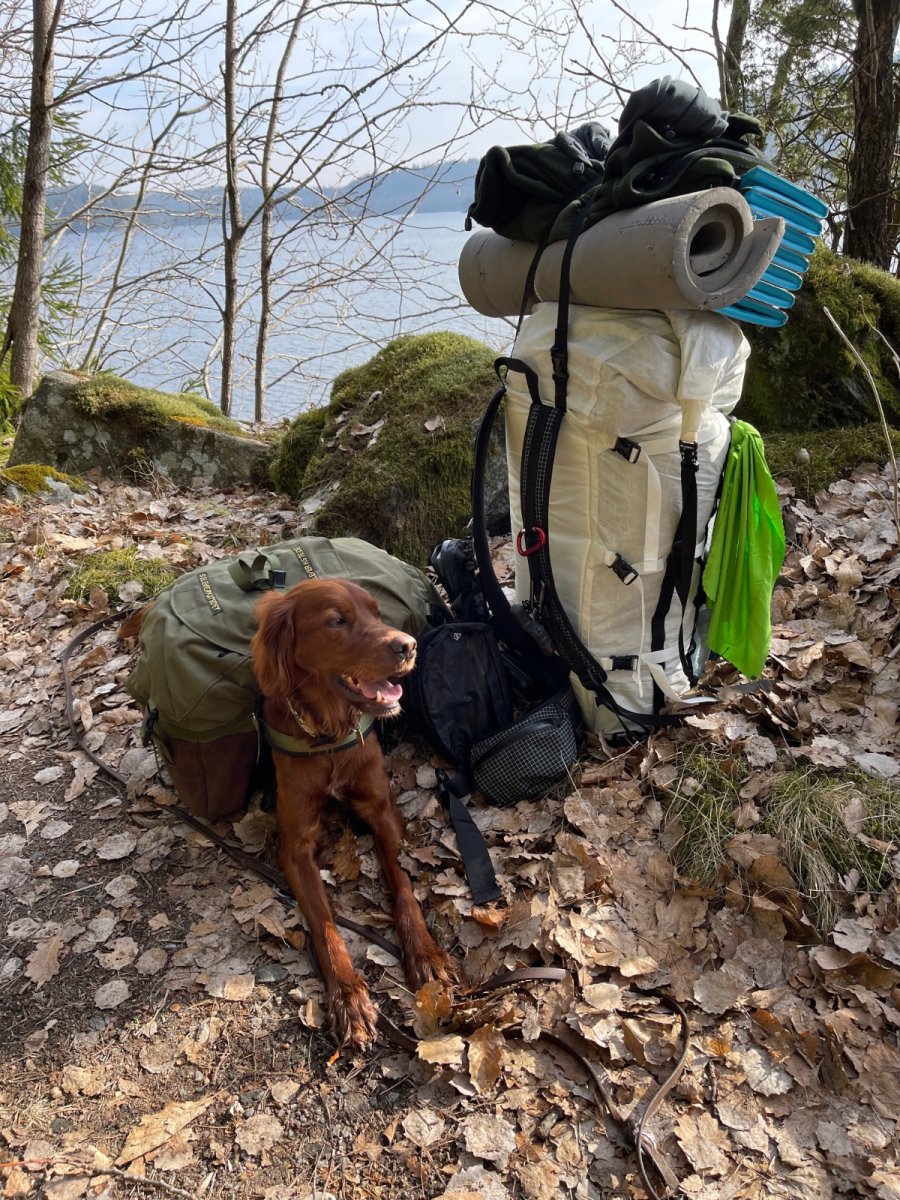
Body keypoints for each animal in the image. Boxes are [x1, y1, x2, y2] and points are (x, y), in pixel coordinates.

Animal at [251, 577, 455, 1048]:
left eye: (376, 613)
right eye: (336, 621)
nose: (408, 646)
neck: (328, 736)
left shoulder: (382, 811)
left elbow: (403, 886)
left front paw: (426, 954)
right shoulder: (296, 846)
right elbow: (325, 923)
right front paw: (349, 997)